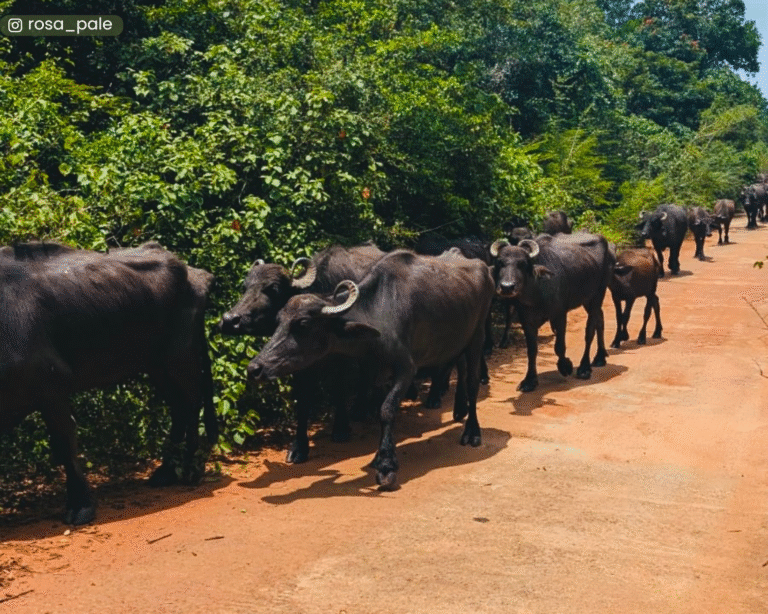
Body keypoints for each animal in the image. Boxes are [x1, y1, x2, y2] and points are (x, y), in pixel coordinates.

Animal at [0, 242, 216, 525]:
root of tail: (194, 273)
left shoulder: (52, 388)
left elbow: (65, 443)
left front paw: (81, 505)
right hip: (157, 366)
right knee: (178, 409)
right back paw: (166, 472)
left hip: (180, 359)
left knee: (191, 405)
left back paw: (191, 470)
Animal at [219, 243, 386, 463]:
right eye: (245, 287)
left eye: (273, 289)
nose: (230, 320)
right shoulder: (298, 363)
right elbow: (303, 400)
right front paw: (299, 446)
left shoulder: (341, 357)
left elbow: (339, 389)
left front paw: (340, 428)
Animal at [247, 250, 495, 490]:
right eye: (279, 320)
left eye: (303, 324)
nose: (254, 368)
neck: (380, 312)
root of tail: (483, 267)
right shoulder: (373, 369)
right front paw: (378, 456)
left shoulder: (406, 369)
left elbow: (386, 410)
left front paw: (386, 466)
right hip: (457, 341)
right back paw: (458, 409)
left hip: (477, 337)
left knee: (473, 382)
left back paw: (472, 431)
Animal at [491, 233, 614, 392]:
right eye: (500, 263)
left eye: (523, 264)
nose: (507, 287)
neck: (536, 292)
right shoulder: (527, 320)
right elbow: (532, 350)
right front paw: (529, 380)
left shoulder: (560, 315)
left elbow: (559, 346)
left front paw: (565, 366)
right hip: (587, 299)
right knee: (600, 319)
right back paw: (600, 357)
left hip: (598, 294)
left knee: (590, 331)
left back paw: (584, 367)